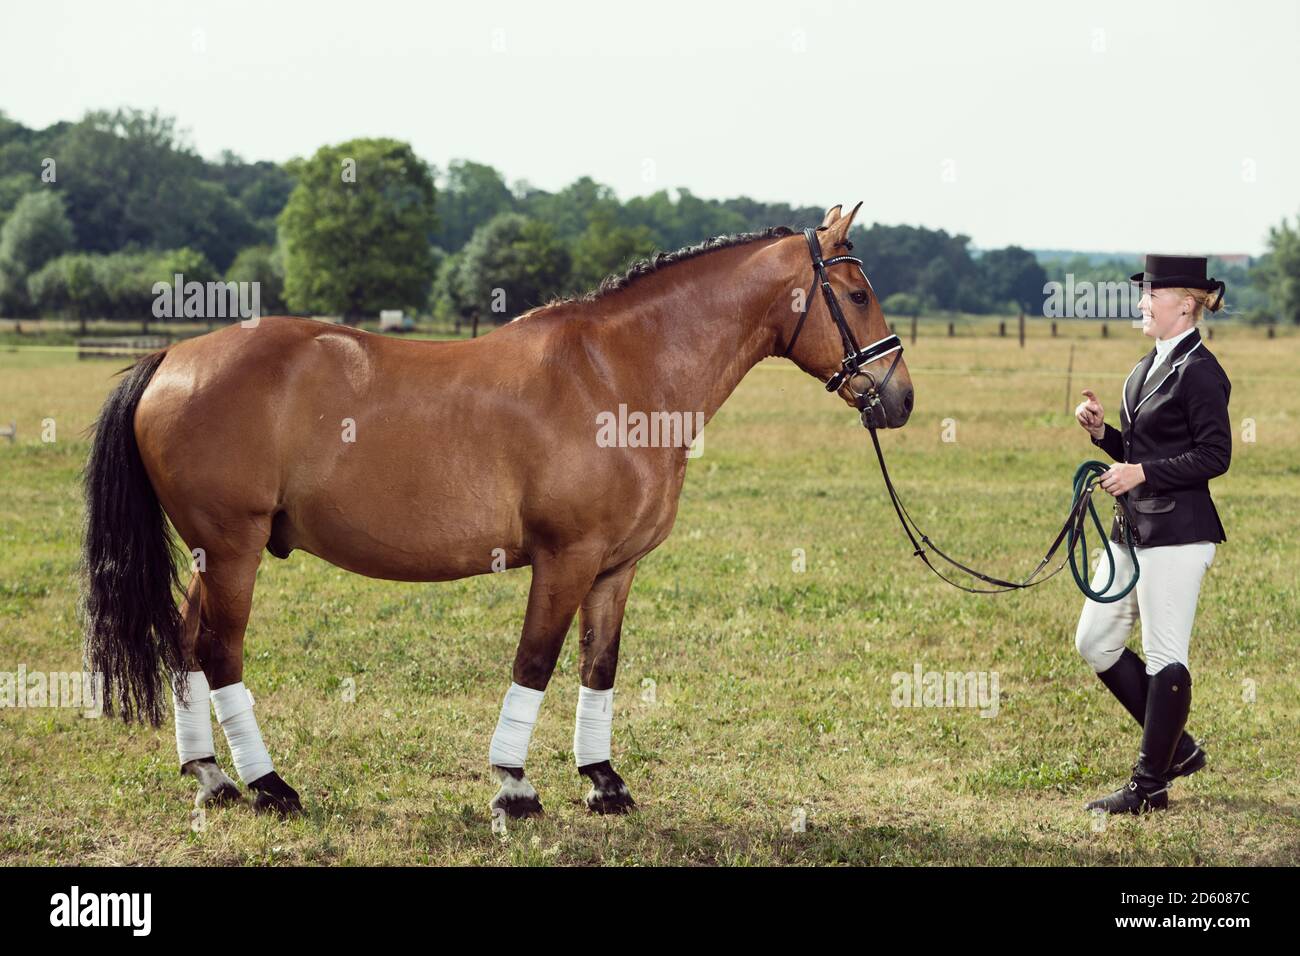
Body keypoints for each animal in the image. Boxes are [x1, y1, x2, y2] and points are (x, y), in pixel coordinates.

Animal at [81, 201, 915, 816]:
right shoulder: (565, 557)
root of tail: (170, 359)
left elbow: (599, 665)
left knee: (185, 643)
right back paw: (268, 786)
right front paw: (515, 786)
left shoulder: (614, 568)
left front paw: (603, 782)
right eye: (859, 294)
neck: (621, 371)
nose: (900, 398)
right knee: (219, 650)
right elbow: (535, 660)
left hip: (210, 555)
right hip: (233, 549)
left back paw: (213, 777)